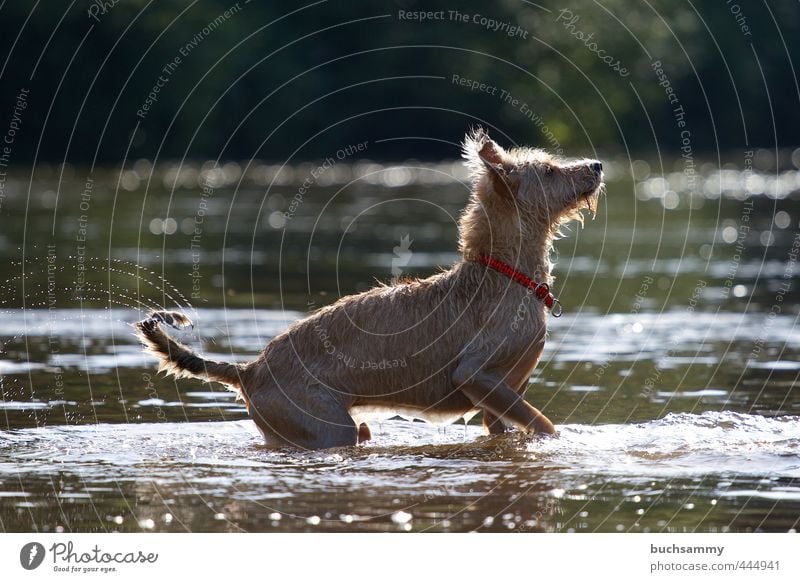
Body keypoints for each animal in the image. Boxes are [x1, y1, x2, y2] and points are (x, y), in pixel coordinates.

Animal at [136, 131, 600, 452]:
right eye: (549, 170)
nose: (596, 165)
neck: (506, 274)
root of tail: (250, 369)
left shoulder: (497, 400)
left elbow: (508, 427)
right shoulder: (476, 373)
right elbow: (544, 424)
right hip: (327, 426)